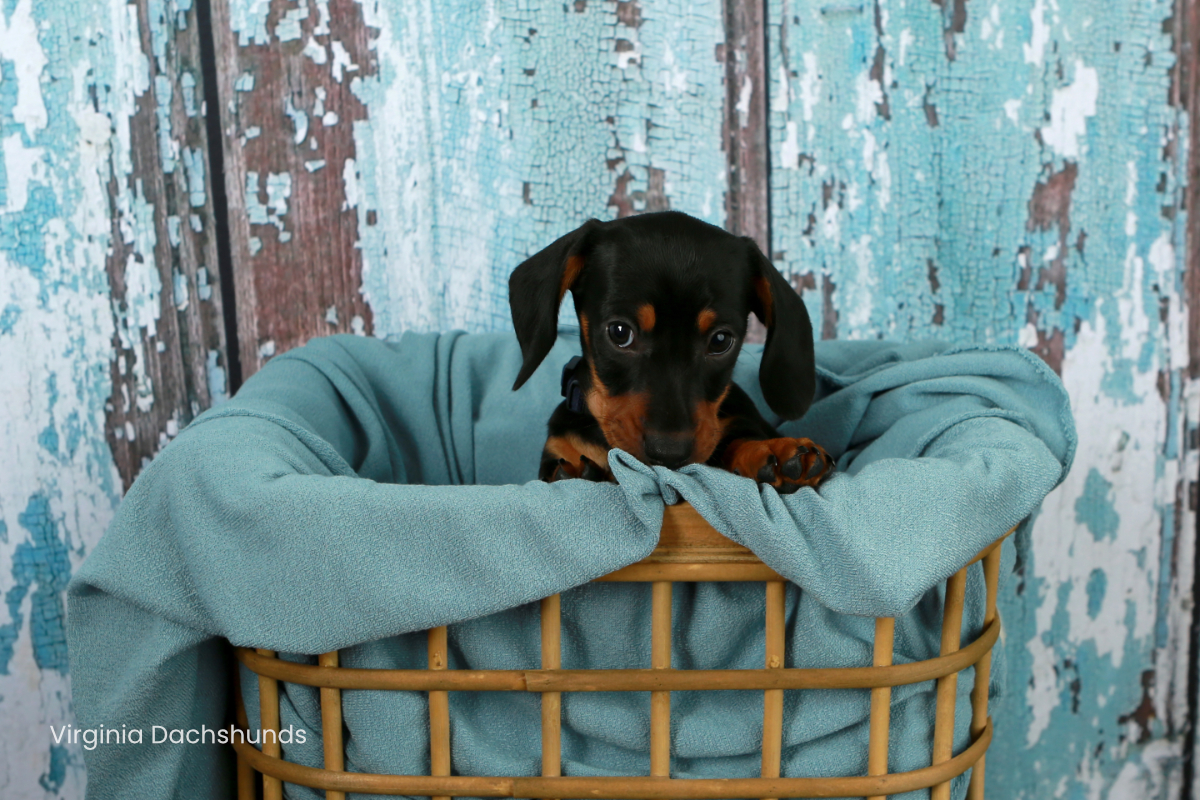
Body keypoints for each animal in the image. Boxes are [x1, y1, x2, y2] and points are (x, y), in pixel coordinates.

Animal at [508, 211, 835, 494]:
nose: (668, 453)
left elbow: (736, 440)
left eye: (720, 340)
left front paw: (773, 450)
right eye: (619, 332)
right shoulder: (561, 446)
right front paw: (578, 474)